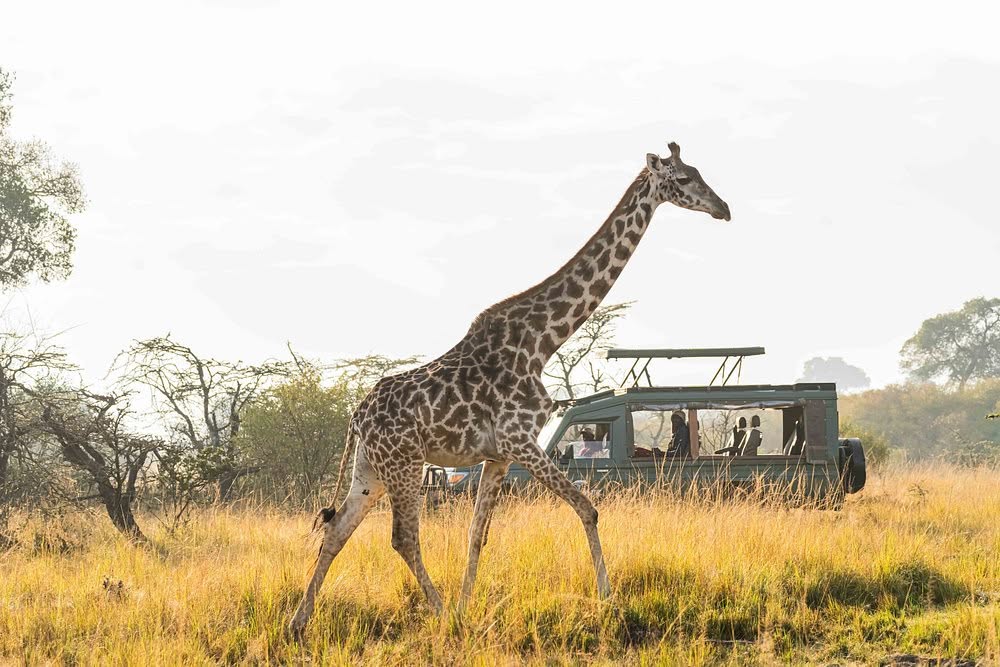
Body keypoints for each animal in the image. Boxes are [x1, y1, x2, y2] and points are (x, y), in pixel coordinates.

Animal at [290, 142, 730, 634]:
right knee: (402, 537)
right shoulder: (521, 439)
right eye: (685, 179)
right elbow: (587, 507)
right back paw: (438, 612)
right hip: (404, 464)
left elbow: (476, 534)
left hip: (370, 470)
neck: (542, 341)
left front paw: (467, 607)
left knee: (336, 529)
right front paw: (608, 599)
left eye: (700, 171)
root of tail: (356, 417)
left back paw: (299, 622)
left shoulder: (498, 454)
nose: (724, 208)